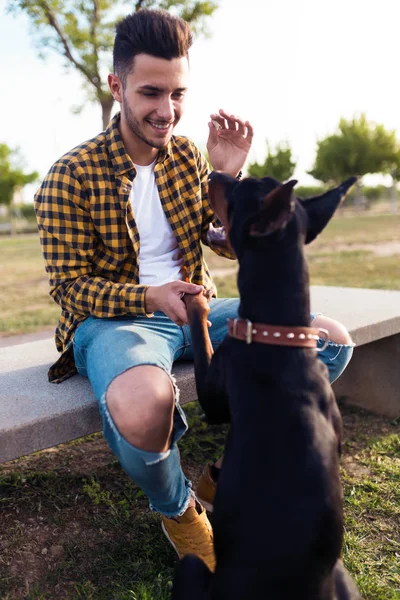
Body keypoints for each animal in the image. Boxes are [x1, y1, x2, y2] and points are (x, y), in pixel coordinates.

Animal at [173, 171, 360, 596]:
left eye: (240, 189)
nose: (216, 173)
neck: (280, 334)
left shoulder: (215, 392)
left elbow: (203, 337)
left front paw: (197, 301)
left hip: (192, 569)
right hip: (343, 578)